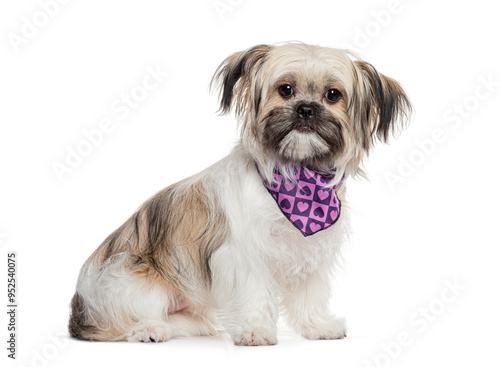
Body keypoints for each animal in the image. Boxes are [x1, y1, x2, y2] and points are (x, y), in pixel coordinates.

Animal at [68, 41, 412, 346]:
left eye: (333, 95)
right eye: (285, 89)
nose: (306, 109)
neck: (297, 178)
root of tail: (80, 306)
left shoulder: (310, 251)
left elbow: (309, 295)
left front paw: (318, 326)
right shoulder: (243, 254)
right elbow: (254, 292)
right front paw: (254, 331)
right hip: (138, 284)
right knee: (120, 324)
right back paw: (148, 329)